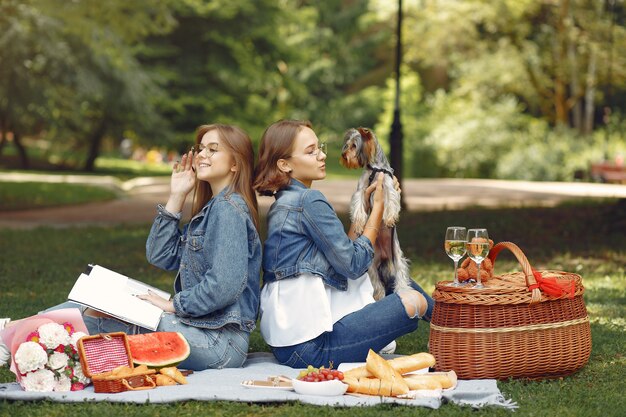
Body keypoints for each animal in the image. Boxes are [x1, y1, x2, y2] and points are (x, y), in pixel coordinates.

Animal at [338, 127, 412, 300]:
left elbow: (391, 200)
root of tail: (384, 256)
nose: (343, 155)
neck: (375, 168)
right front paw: (359, 225)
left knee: (400, 274)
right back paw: (379, 296)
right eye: (347, 144)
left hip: (397, 257)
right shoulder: (361, 190)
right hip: (371, 264)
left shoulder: (390, 185)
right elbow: (359, 207)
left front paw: (390, 218)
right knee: (377, 283)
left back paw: (402, 290)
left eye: (354, 146)